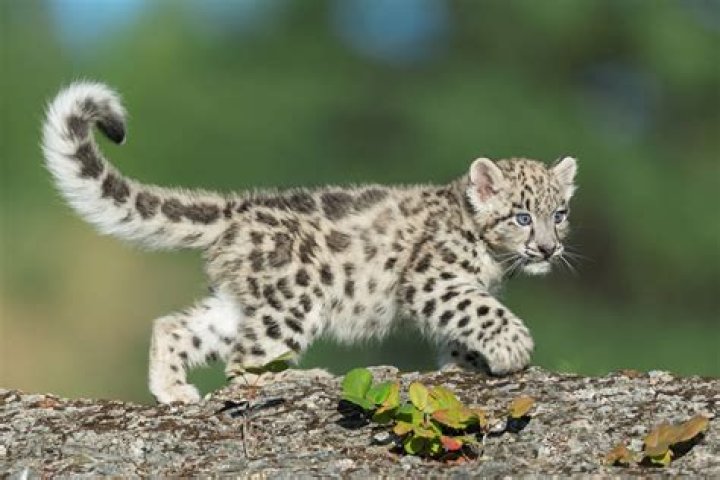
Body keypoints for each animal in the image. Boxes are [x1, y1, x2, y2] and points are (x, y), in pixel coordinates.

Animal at [41, 82, 578, 403]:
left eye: (560, 214)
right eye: (522, 216)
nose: (548, 249)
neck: (493, 259)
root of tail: (237, 208)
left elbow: (462, 327)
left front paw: (464, 365)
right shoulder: (435, 280)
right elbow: (480, 310)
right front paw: (512, 348)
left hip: (245, 302)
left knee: (177, 327)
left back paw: (173, 391)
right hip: (294, 299)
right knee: (245, 364)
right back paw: (306, 378)